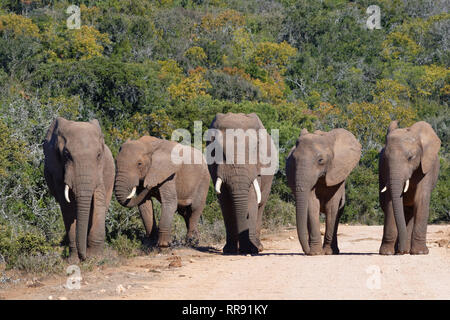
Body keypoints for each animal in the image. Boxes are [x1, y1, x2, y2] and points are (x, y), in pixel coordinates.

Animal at [43, 116, 115, 262]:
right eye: (66, 155)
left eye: (99, 155)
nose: (84, 257)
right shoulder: (58, 173)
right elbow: (67, 208)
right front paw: (74, 260)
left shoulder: (100, 171)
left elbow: (98, 202)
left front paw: (95, 259)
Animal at [207, 111, 278, 254]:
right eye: (218, 151)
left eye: (255, 149)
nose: (244, 249)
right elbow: (224, 201)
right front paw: (229, 251)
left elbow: (251, 197)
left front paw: (250, 249)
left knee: (261, 204)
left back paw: (258, 247)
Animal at [288, 127, 362, 255]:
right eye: (293, 160)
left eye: (320, 160)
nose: (306, 251)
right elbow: (312, 205)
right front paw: (316, 253)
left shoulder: (336, 174)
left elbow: (332, 208)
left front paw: (326, 252)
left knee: (337, 215)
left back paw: (334, 251)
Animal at [378, 120, 442, 255]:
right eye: (385, 158)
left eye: (410, 158)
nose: (400, 251)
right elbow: (390, 201)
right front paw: (387, 253)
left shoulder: (427, 166)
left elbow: (421, 199)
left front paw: (420, 252)